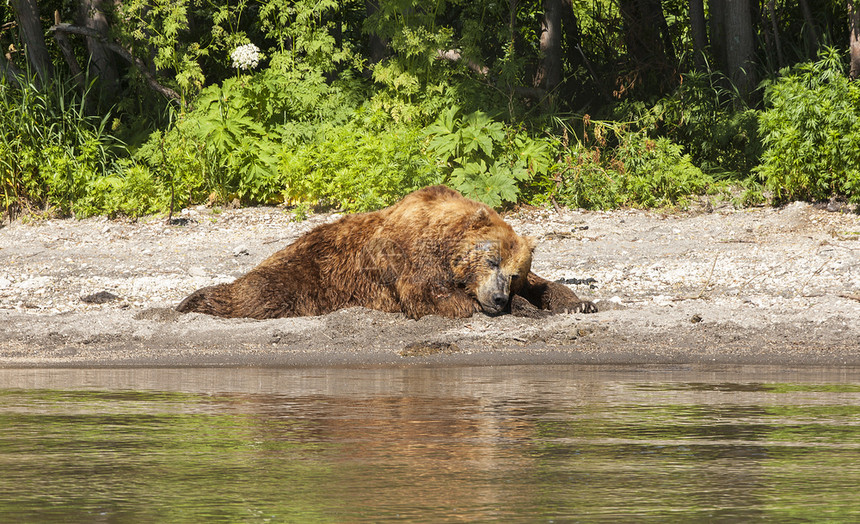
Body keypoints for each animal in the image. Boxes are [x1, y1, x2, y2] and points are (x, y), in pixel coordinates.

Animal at [178, 186, 596, 322]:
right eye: (491, 261)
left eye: (514, 273)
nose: (497, 296)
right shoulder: (411, 257)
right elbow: (431, 295)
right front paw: (521, 308)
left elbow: (545, 284)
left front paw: (579, 302)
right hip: (300, 273)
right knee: (255, 294)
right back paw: (191, 301)